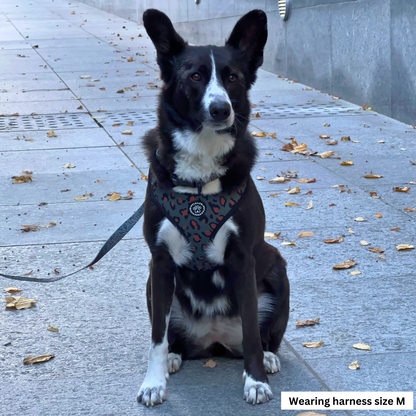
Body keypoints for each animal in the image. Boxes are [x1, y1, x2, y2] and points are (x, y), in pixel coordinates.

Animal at [139, 8, 290, 406]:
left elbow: (252, 330)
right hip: (152, 286)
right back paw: (175, 355)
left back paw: (269, 358)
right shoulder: (159, 262)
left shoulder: (243, 259)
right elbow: (156, 338)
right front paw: (153, 382)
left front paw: (255, 381)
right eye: (194, 75)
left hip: (277, 268)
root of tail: (215, 340)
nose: (221, 109)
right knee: (170, 335)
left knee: (263, 335)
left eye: (232, 77)